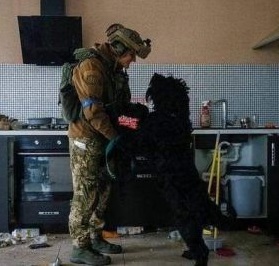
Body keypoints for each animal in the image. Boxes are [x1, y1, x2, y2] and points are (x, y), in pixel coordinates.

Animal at [109, 72, 236, 266]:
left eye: (169, 82)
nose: (156, 75)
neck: (173, 115)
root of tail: (208, 207)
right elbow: (142, 114)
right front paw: (133, 107)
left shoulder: (140, 140)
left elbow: (128, 134)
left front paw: (118, 117)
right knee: (200, 248)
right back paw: (189, 254)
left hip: (187, 225)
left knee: (202, 250)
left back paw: (196, 260)